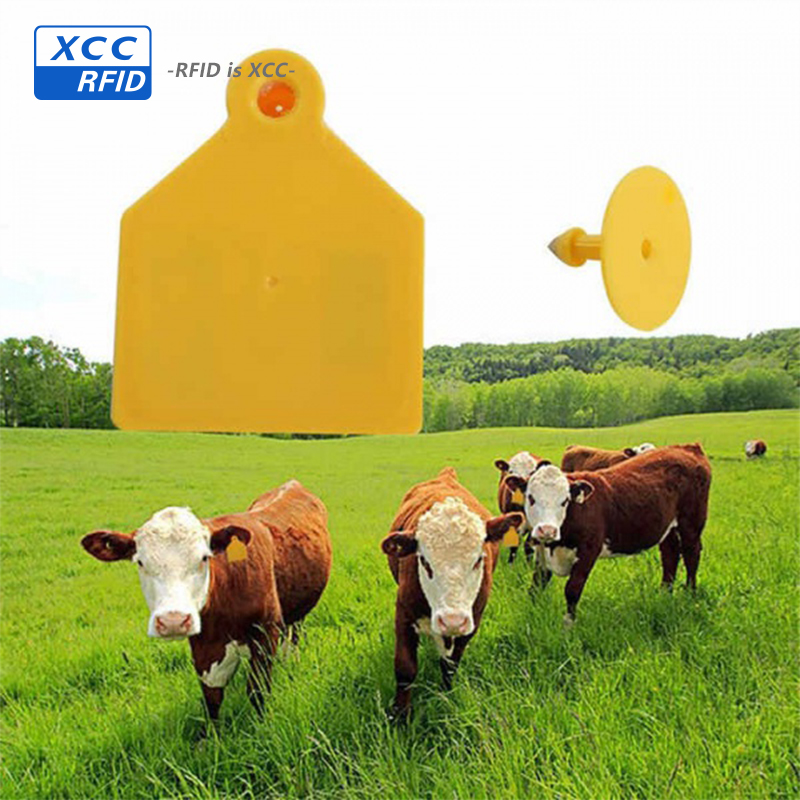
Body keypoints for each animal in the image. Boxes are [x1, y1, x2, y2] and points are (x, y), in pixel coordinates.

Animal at [81, 480, 332, 722]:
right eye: (140, 562)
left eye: (204, 558)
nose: (173, 621)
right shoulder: (203, 646)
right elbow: (211, 698)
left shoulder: (266, 632)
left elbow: (257, 691)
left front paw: (263, 726)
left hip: (297, 614)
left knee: (294, 636)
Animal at [380, 467, 523, 720]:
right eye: (424, 561)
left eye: (478, 560)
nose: (452, 621)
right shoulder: (404, 613)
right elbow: (405, 669)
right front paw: (400, 715)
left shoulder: (473, 620)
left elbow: (450, 665)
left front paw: (445, 695)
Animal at [505, 444, 711, 626]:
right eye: (531, 498)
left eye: (564, 501)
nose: (547, 530)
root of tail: (687, 447)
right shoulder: (541, 553)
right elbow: (535, 588)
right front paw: (533, 618)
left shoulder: (588, 550)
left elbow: (572, 590)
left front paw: (568, 627)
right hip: (668, 529)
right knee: (670, 555)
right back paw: (664, 593)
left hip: (691, 524)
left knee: (691, 555)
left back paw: (690, 595)